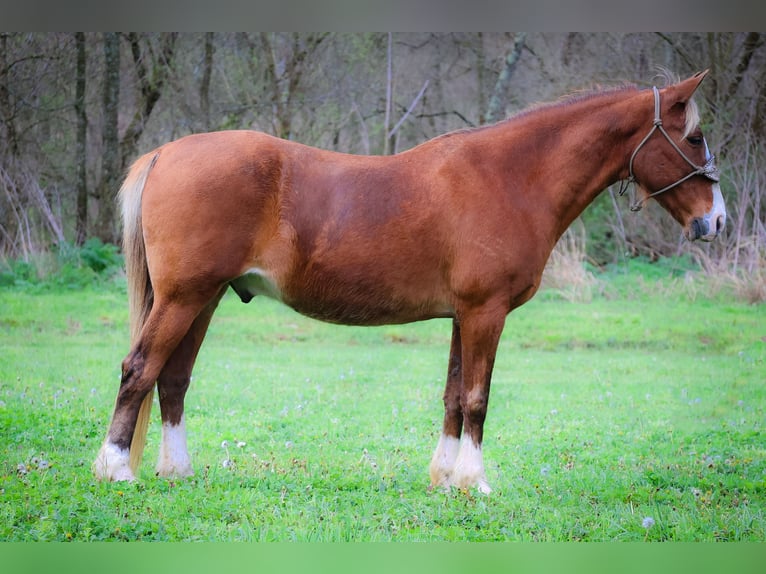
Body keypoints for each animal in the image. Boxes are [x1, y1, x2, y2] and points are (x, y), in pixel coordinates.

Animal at [94, 71, 728, 496]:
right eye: (694, 138)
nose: (716, 221)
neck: (512, 177)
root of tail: (165, 153)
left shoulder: (463, 315)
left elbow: (452, 397)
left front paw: (445, 479)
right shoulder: (485, 313)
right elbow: (476, 399)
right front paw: (474, 482)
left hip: (202, 299)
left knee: (172, 379)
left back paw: (176, 470)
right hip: (184, 297)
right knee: (139, 370)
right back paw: (116, 469)